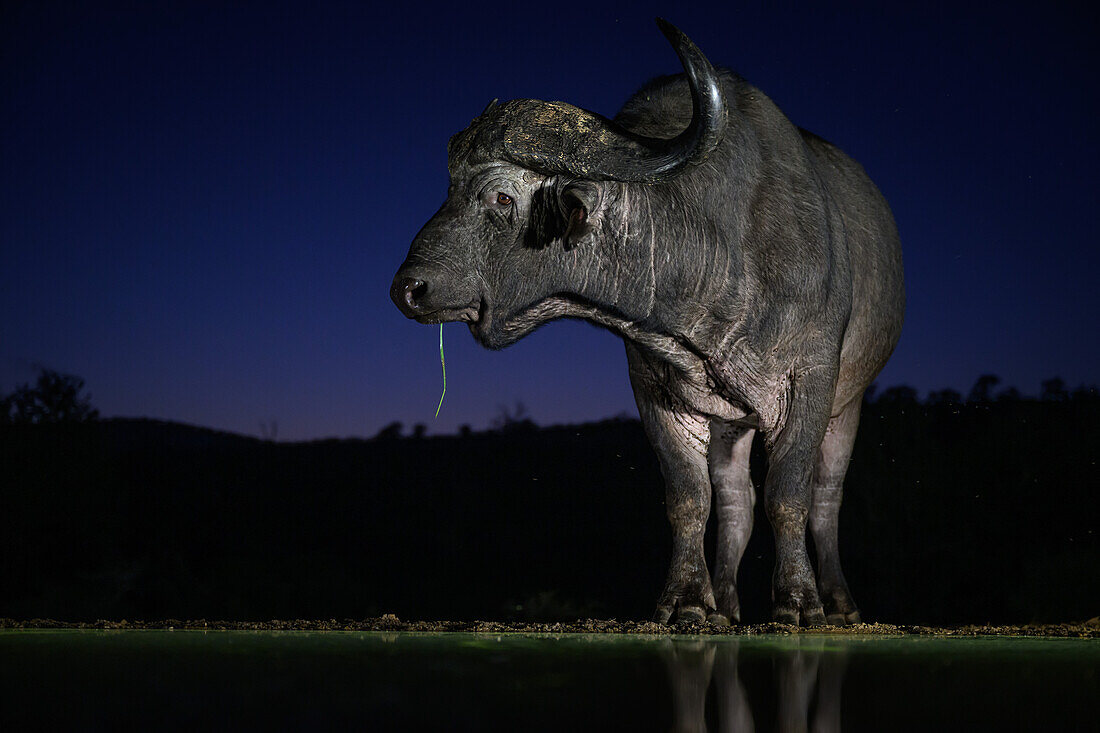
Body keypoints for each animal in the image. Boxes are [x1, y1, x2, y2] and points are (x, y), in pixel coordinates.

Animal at [393, 18, 902, 620]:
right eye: (449, 189)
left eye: (499, 195)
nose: (409, 289)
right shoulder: (656, 387)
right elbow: (688, 497)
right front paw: (688, 601)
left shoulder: (813, 379)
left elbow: (791, 494)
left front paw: (799, 603)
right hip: (730, 421)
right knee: (736, 502)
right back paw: (726, 605)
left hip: (850, 401)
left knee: (824, 496)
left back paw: (840, 602)